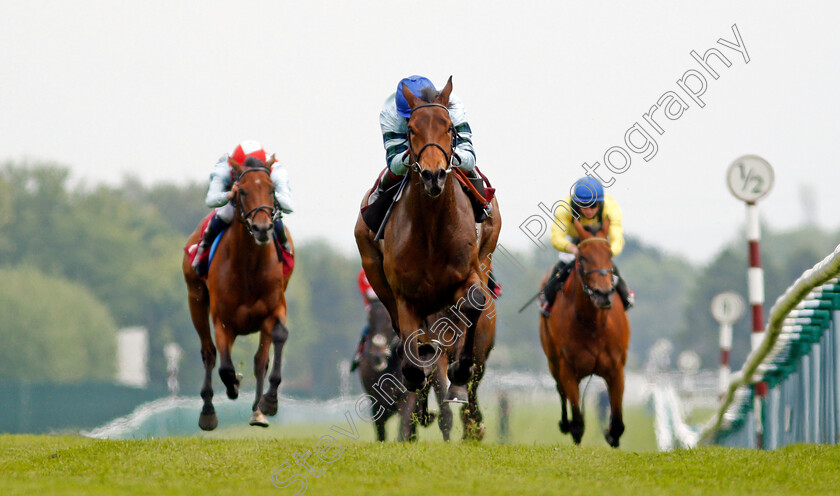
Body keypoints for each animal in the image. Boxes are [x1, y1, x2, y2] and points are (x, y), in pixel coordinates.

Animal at [182, 156, 294, 430]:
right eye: (242, 191)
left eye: (271, 190)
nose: (262, 228)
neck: (249, 268)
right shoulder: (222, 319)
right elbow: (224, 367)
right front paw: (232, 386)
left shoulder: (275, 306)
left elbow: (278, 337)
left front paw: (269, 402)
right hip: (195, 299)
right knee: (209, 353)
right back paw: (209, 410)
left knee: (259, 359)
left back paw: (258, 410)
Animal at [360, 300, 452, 440]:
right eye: (370, 319)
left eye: (388, 321)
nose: (377, 356)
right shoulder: (376, 403)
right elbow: (381, 432)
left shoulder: (408, 399)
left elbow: (403, 426)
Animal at [540, 219, 632, 448]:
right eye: (582, 258)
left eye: (609, 255)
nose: (603, 294)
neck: (593, 325)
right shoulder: (568, 368)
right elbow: (578, 424)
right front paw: (572, 427)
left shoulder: (616, 368)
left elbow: (618, 424)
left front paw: (610, 432)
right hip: (552, 360)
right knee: (559, 389)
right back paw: (564, 423)